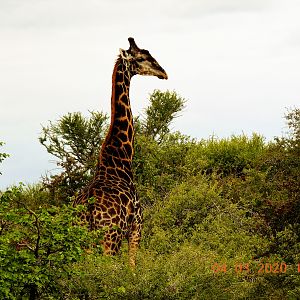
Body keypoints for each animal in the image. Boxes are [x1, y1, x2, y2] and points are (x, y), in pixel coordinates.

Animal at [72, 37, 166, 268]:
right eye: (141, 57)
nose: (164, 73)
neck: (121, 159)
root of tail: (89, 213)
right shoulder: (136, 227)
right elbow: (132, 267)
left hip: (81, 243)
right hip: (110, 238)